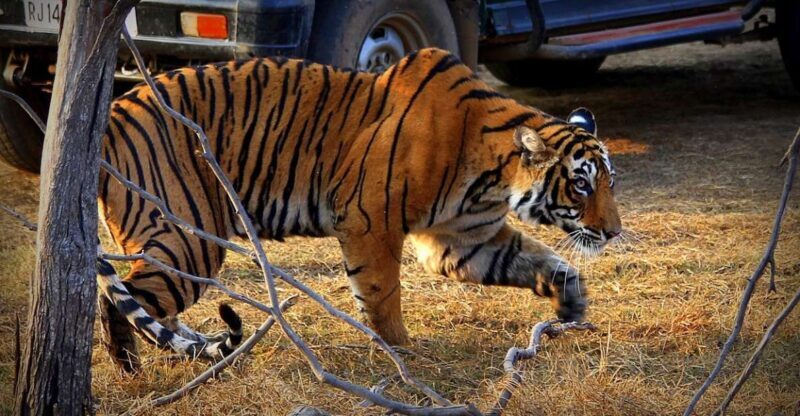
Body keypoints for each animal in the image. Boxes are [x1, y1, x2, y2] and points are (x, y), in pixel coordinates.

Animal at [95, 47, 621, 372]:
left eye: (609, 183)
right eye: (580, 185)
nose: (614, 232)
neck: (493, 178)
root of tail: (114, 111)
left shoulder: (464, 241)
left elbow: (537, 262)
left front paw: (571, 301)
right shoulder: (371, 219)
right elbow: (381, 293)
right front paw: (402, 353)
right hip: (191, 237)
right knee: (120, 299)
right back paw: (130, 368)